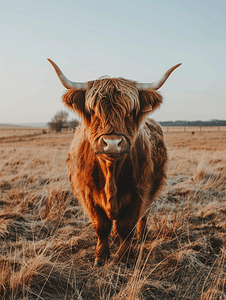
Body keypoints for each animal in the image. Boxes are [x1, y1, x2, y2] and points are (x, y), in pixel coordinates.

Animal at [48, 59, 181, 266]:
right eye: (93, 111)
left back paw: (141, 236)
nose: (112, 143)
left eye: (131, 112)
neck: (111, 171)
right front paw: (101, 257)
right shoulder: (88, 195)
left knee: (145, 214)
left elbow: (126, 228)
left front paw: (123, 258)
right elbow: (101, 227)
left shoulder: (138, 194)